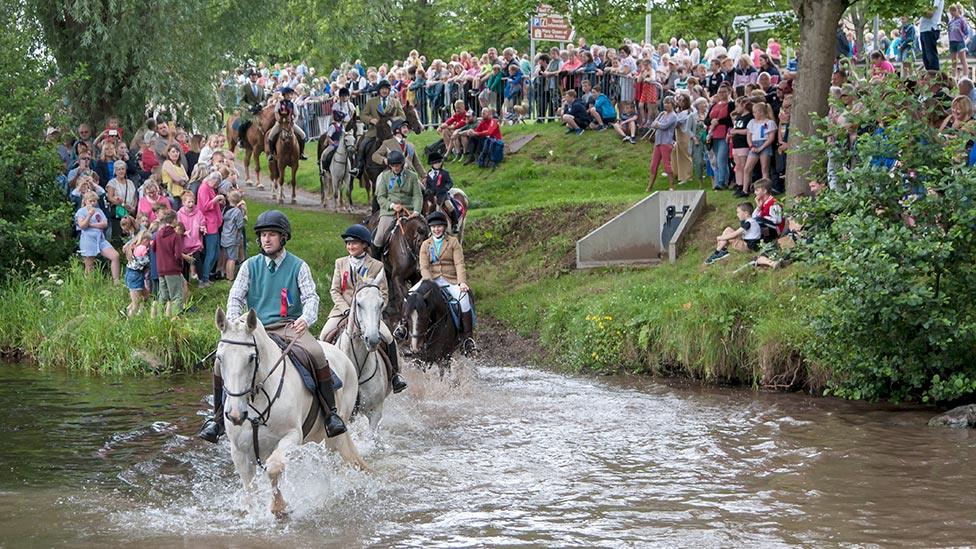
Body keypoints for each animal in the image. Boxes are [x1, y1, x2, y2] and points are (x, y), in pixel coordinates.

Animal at [214, 308, 366, 520]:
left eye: (251, 358)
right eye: (220, 358)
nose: (236, 414)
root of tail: (343, 356)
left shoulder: (292, 436)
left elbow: (274, 468)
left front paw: (279, 507)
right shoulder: (239, 451)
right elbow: (249, 487)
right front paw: (253, 512)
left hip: (334, 434)